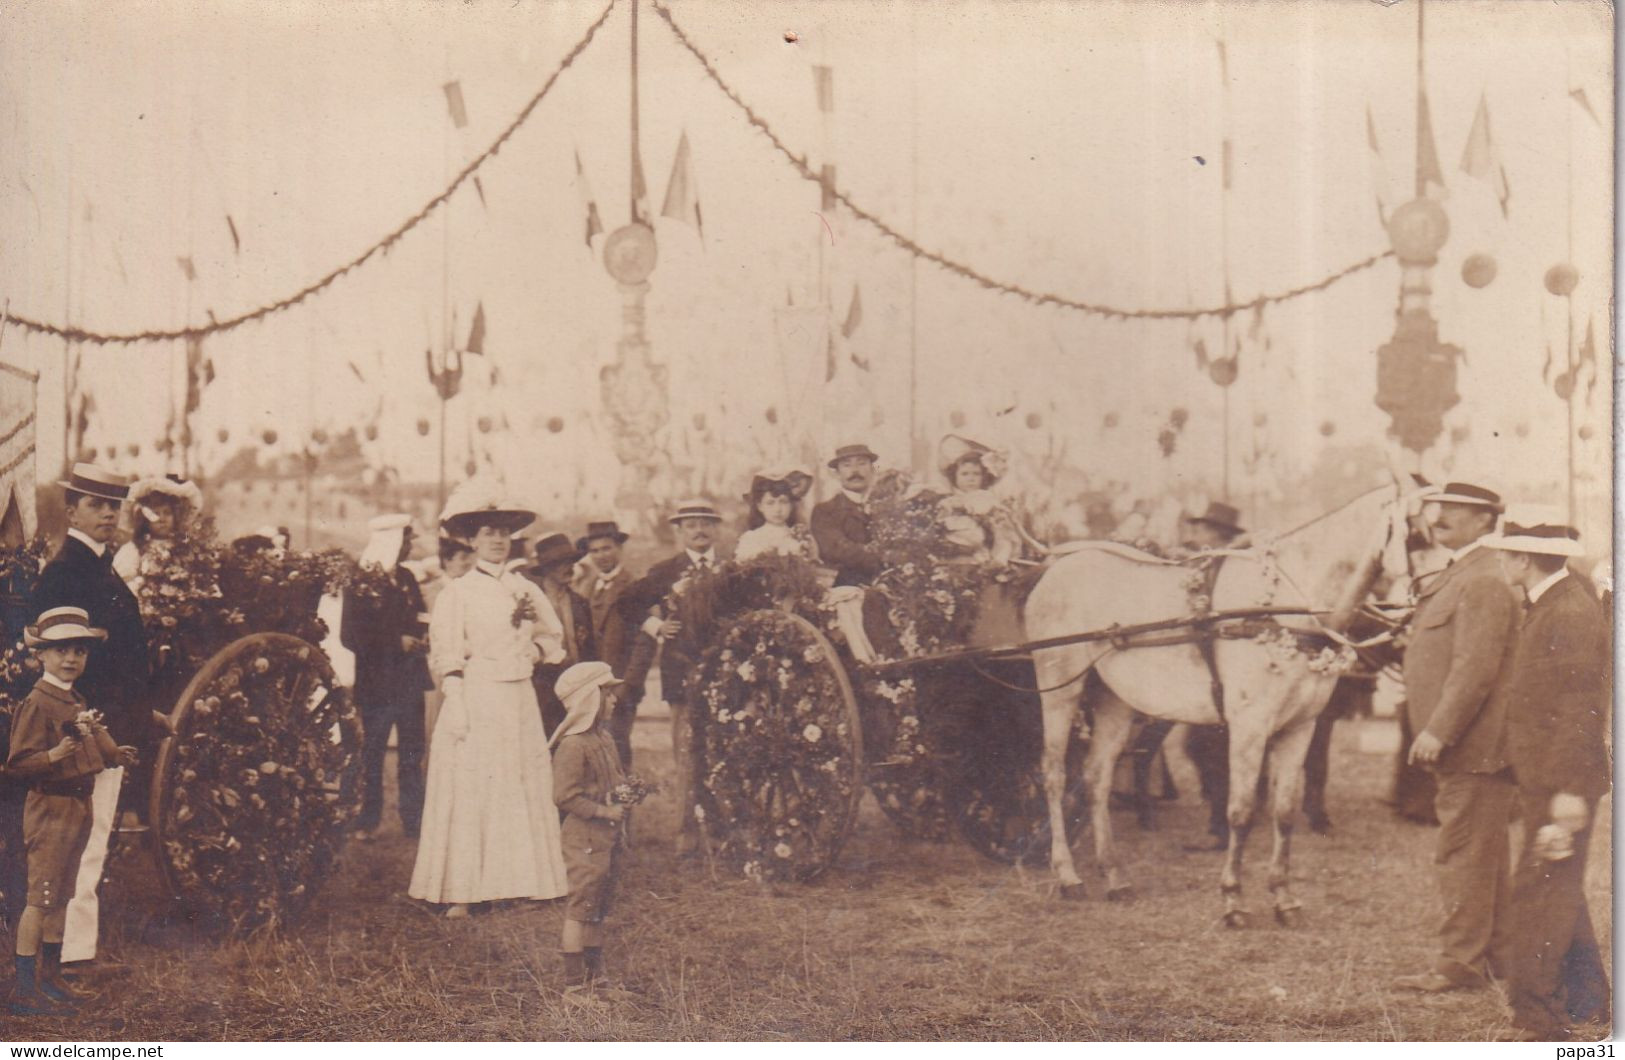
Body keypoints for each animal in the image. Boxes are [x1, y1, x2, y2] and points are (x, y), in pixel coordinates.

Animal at [1027, 484, 1410, 923]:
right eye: (1423, 529)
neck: (1282, 608)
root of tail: (1054, 569)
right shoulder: (1249, 727)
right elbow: (1240, 809)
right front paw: (1232, 899)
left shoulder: (1301, 726)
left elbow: (1284, 812)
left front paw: (1283, 898)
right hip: (1059, 688)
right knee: (1055, 775)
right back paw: (1068, 875)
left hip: (1115, 698)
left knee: (1096, 778)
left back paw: (1115, 876)